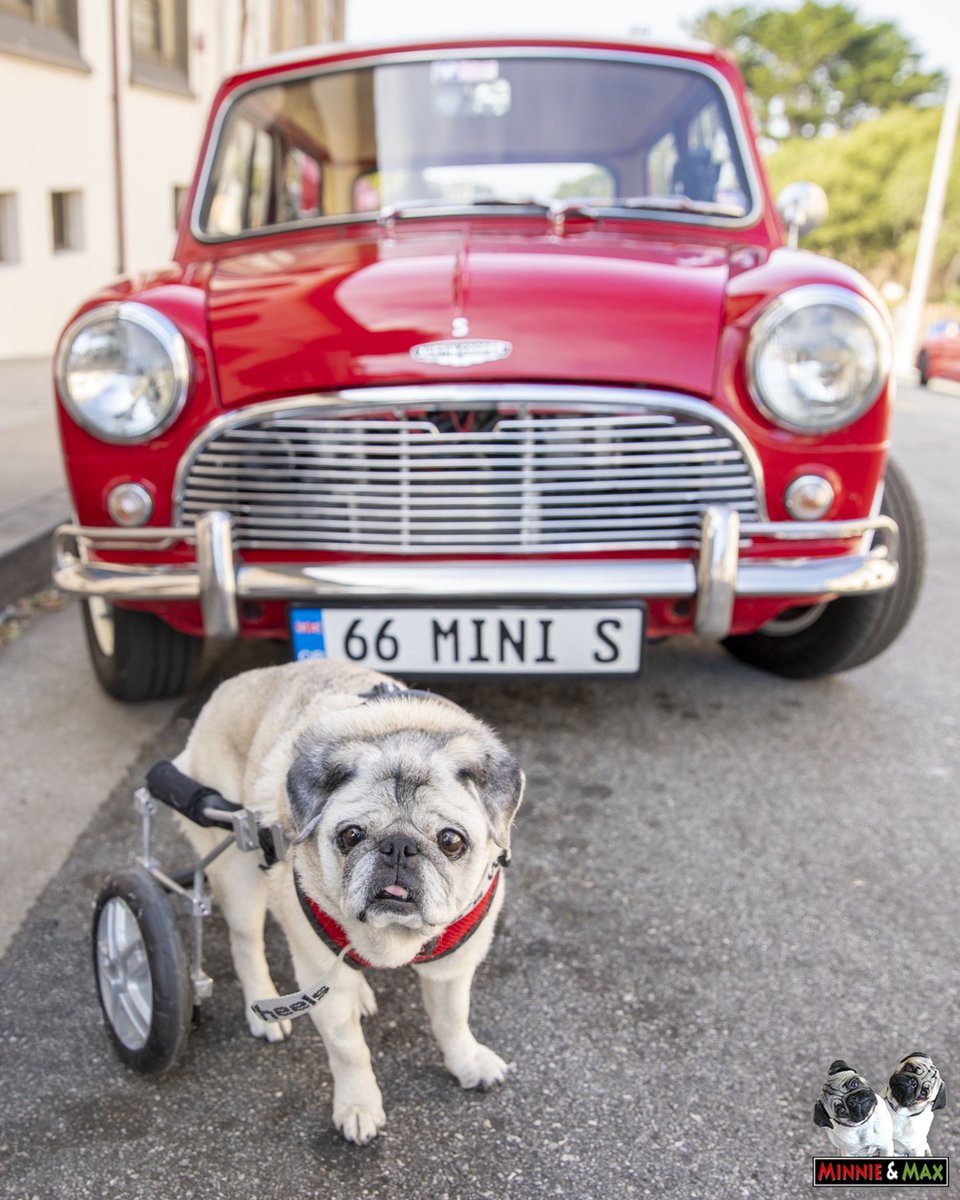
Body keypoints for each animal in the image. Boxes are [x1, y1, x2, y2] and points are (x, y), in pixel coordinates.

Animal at [169, 657, 520, 1142]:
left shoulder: (452, 970)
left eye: (451, 841)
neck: (393, 939)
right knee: (246, 943)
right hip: (235, 865)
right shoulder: (323, 984)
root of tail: (227, 689)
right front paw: (358, 1105)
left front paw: (466, 1063)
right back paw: (264, 1007)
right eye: (351, 836)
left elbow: (453, 1020)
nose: (398, 847)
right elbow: (349, 1050)